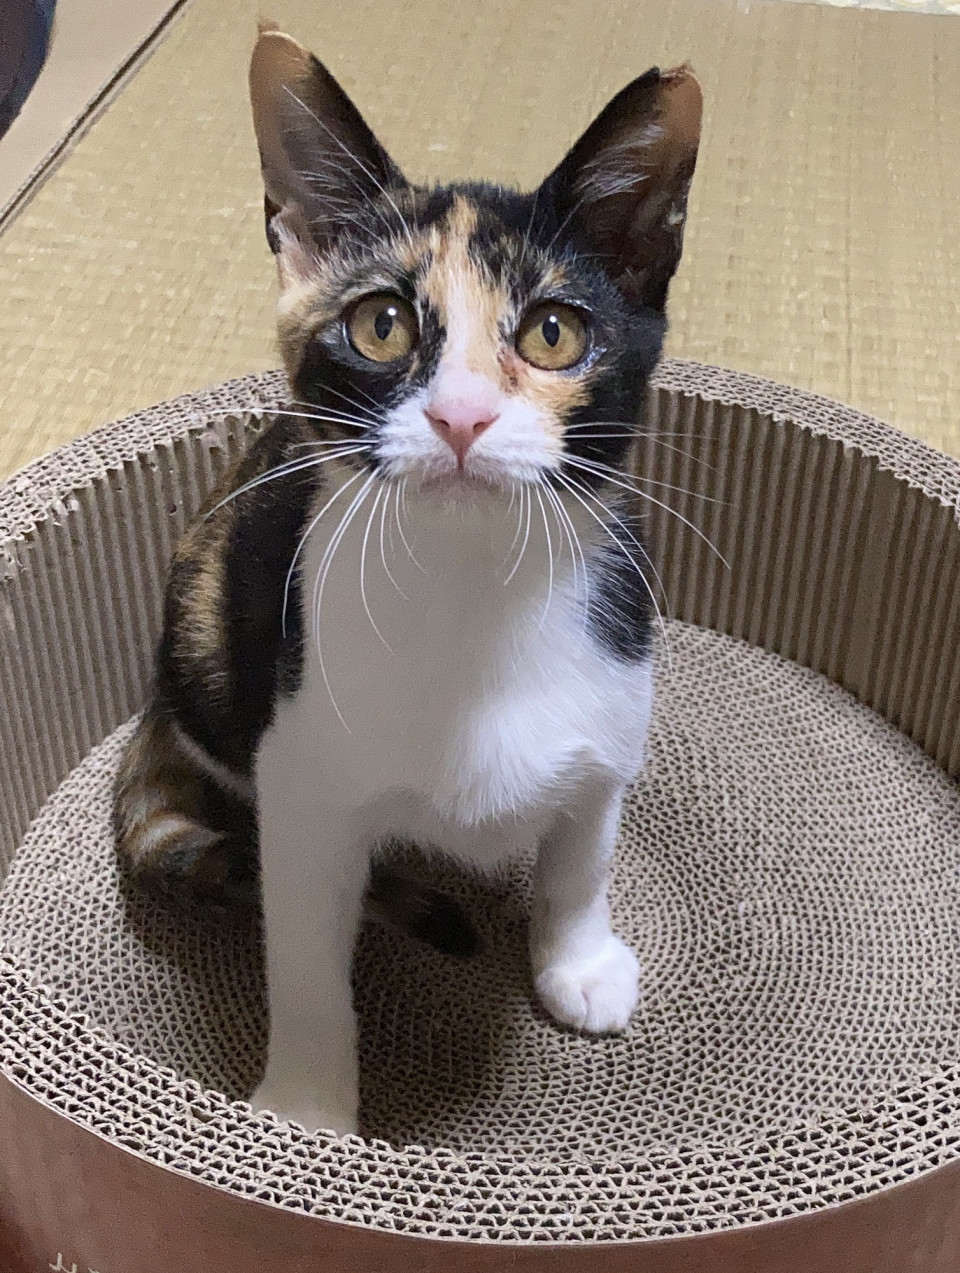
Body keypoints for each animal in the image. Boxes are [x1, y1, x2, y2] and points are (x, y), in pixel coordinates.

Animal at [113, 23, 701, 1137]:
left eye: (554, 331)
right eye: (380, 324)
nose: (461, 416)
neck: (474, 595)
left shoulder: (612, 710)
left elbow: (583, 850)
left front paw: (577, 961)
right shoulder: (298, 778)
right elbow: (304, 951)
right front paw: (306, 1106)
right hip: (205, 638)